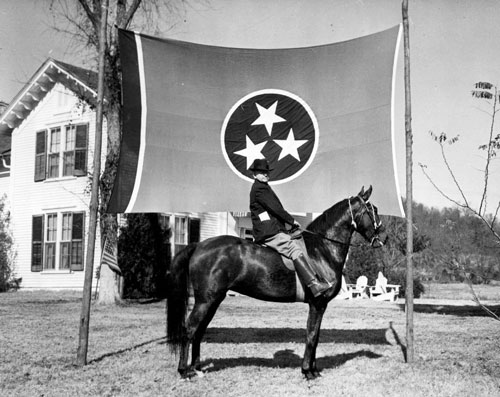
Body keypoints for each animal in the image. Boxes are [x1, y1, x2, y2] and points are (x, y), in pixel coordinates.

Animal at [166, 184, 388, 378]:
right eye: (373, 209)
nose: (384, 237)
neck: (322, 249)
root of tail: (199, 245)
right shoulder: (317, 303)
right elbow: (311, 336)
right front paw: (307, 372)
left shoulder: (320, 306)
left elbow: (315, 337)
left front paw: (313, 370)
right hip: (205, 300)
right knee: (190, 329)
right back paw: (184, 371)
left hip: (214, 300)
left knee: (199, 331)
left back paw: (197, 368)